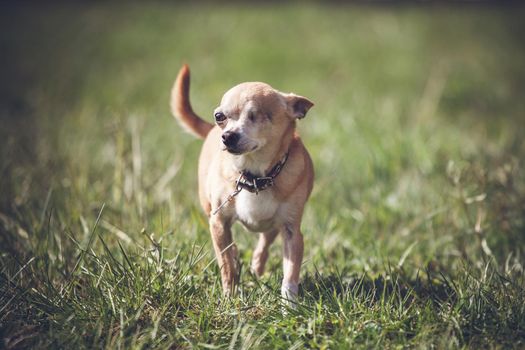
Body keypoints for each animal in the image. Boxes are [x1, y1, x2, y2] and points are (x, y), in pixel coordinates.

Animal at [170, 64, 314, 304]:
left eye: (257, 116)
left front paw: (289, 304)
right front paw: (229, 297)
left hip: (273, 226)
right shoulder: (218, 222)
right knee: (232, 249)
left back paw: (256, 266)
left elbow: (291, 273)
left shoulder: (291, 231)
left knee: (264, 242)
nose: (227, 135)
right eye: (219, 116)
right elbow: (226, 264)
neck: (255, 176)